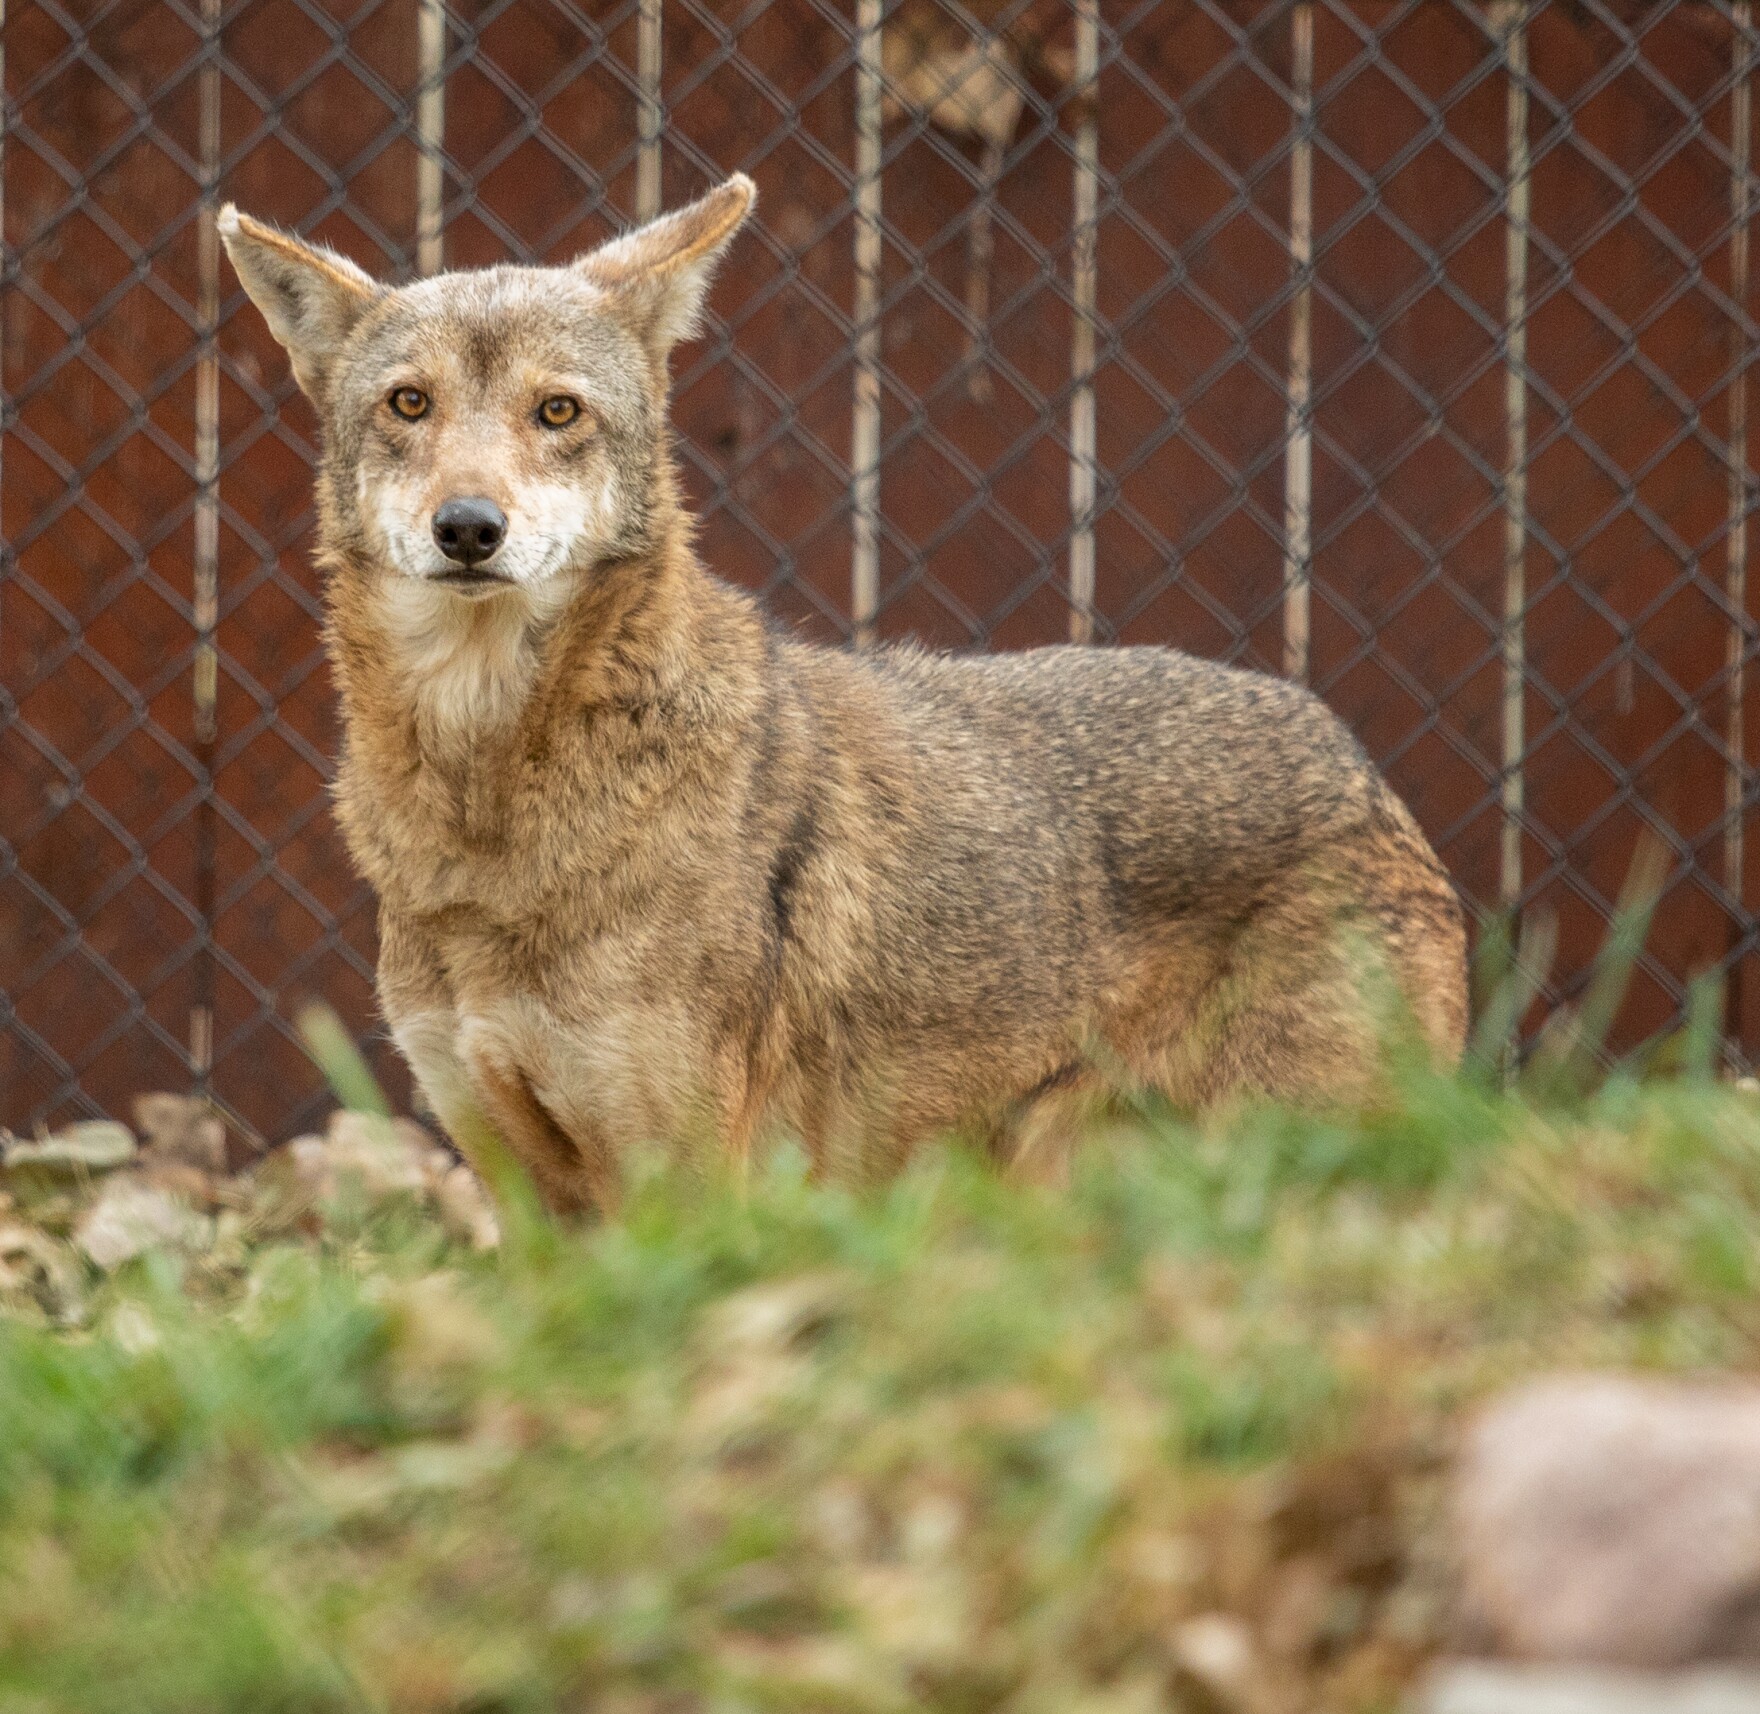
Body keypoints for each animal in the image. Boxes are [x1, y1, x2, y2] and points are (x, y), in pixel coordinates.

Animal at [220, 175, 1468, 1213]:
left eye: (557, 413)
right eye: (409, 405)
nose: (469, 528)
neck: (485, 808)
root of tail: (1361, 768)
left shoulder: (684, 1181)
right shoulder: (523, 1191)